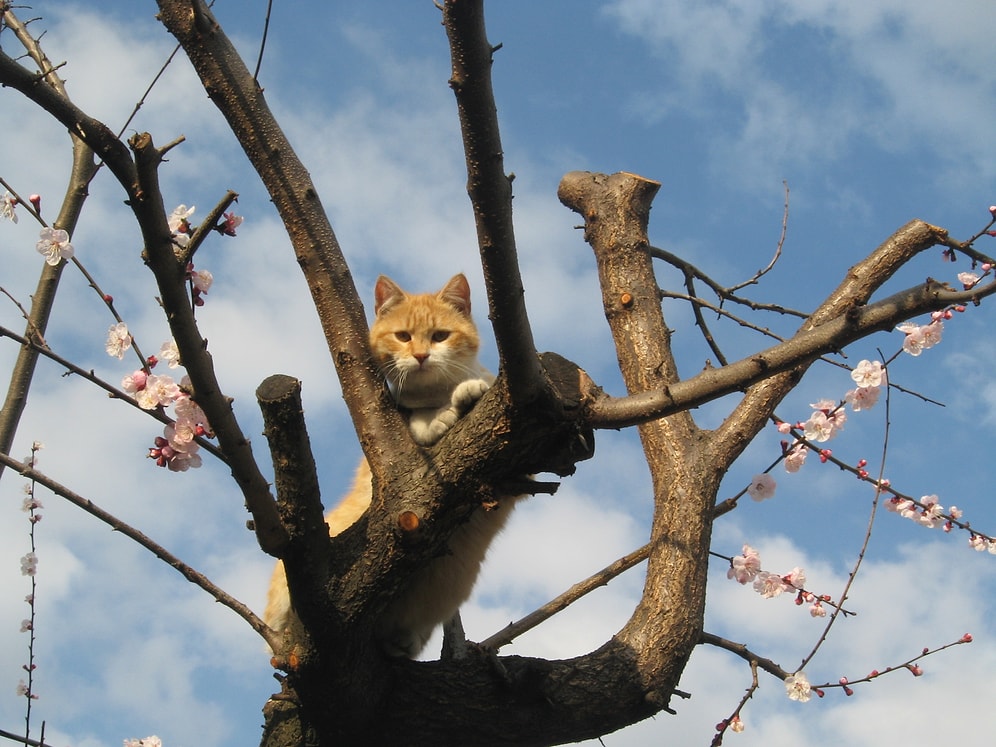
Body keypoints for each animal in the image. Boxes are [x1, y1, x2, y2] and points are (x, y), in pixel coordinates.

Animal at [262, 276, 520, 660]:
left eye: (440, 336)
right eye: (403, 336)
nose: (421, 355)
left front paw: (468, 395)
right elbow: (422, 424)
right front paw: (443, 414)